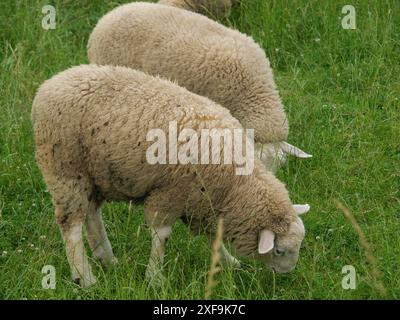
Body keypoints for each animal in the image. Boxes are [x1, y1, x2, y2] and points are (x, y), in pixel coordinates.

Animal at [32, 65, 310, 288]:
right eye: (279, 250)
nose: (285, 274)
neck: (235, 185)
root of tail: (48, 86)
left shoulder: (202, 203)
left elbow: (213, 236)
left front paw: (229, 262)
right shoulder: (170, 193)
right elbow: (161, 237)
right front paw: (155, 278)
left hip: (95, 175)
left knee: (91, 212)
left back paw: (107, 258)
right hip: (65, 170)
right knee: (71, 227)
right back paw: (86, 278)